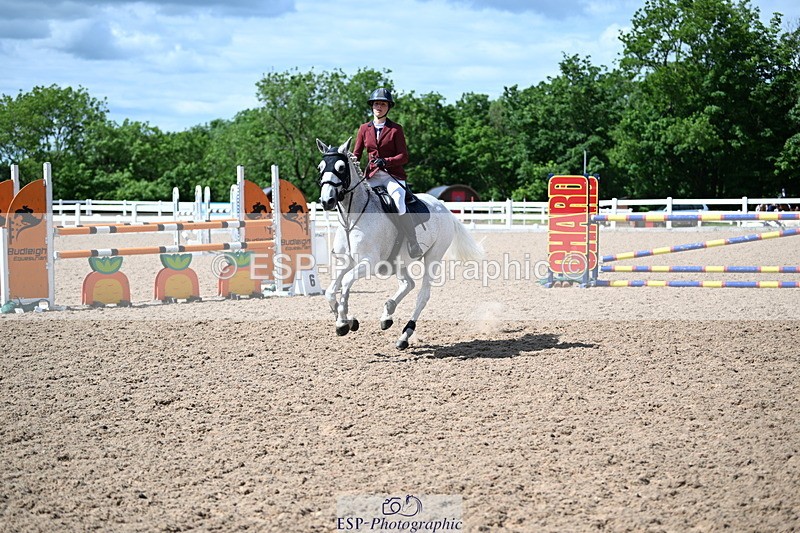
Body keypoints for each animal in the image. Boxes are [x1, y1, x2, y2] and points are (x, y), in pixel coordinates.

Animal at [316, 137, 485, 349]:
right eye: (320, 167)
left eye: (340, 167)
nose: (327, 201)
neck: (351, 218)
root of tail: (444, 207)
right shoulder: (346, 262)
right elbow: (331, 291)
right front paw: (348, 320)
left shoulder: (368, 263)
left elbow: (346, 282)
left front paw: (343, 322)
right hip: (398, 261)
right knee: (408, 284)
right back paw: (387, 314)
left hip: (433, 257)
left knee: (423, 294)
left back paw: (404, 335)